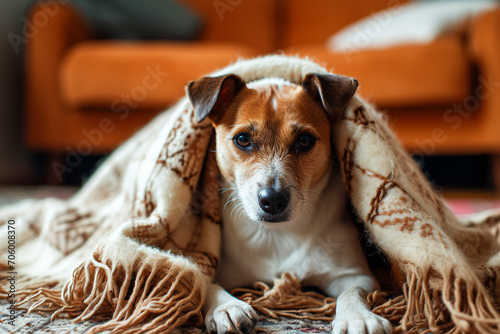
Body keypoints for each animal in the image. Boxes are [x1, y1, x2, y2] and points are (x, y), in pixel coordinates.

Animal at [186, 71, 392, 334]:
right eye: (243, 139)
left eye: (304, 140)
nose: (273, 200)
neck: (276, 235)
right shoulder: (214, 265)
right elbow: (204, 281)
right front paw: (227, 307)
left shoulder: (354, 274)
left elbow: (352, 292)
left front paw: (359, 317)